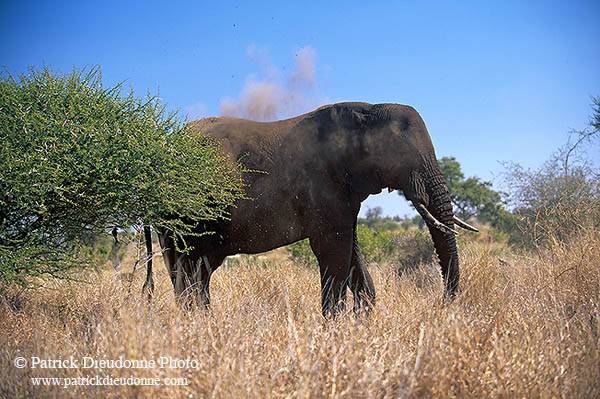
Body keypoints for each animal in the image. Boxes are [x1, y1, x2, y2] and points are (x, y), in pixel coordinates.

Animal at [155, 103, 478, 318]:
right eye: (404, 155)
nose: (442, 305)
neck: (367, 111)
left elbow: (351, 252)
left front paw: (361, 321)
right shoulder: (323, 185)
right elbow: (334, 251)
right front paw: (335, 327)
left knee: (198, 271)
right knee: (186, 269)